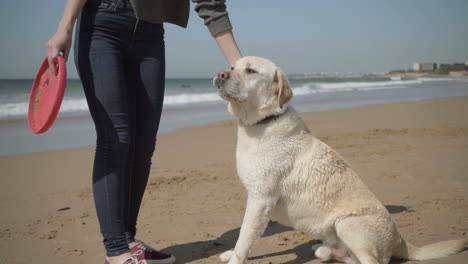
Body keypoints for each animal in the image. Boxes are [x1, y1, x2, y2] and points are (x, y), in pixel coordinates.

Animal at [214, 56, 466, 264]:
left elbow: (245, 236)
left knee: (373, 261)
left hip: (347, 224)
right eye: (232, 67)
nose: (221, 74)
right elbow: (245, 235)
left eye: (251, 71)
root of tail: (401, 241)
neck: (263, 122)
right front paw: (231, 255)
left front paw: (235, 258)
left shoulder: (260, 199)